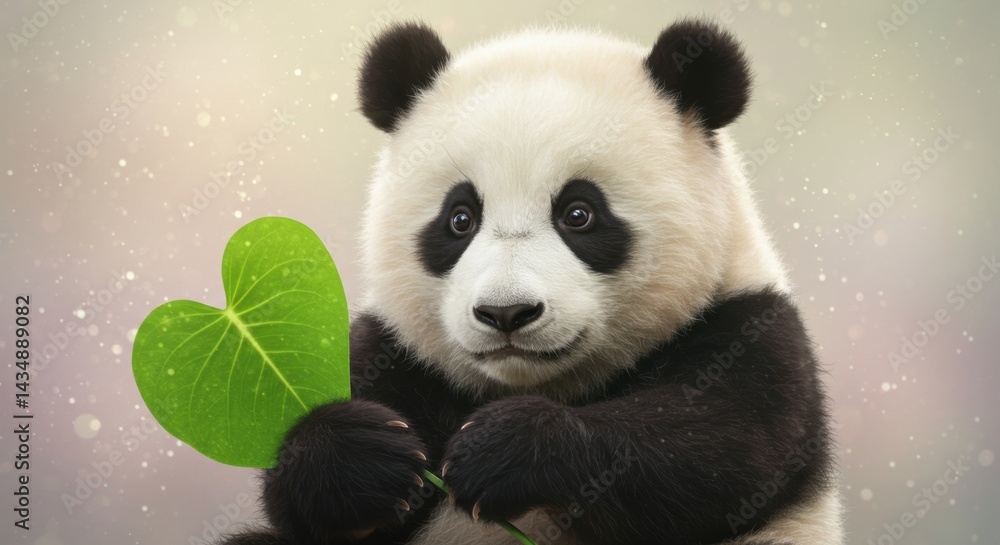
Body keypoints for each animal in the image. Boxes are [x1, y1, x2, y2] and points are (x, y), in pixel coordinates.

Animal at [221, 19, 843, 545]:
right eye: (460, 218)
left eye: (579, 214)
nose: (506, 313)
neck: (538, 384)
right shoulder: (395, 352)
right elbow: (300, 504)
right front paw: (366, 458)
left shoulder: (749, 327)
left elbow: (717, 450)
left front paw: (505, 450)